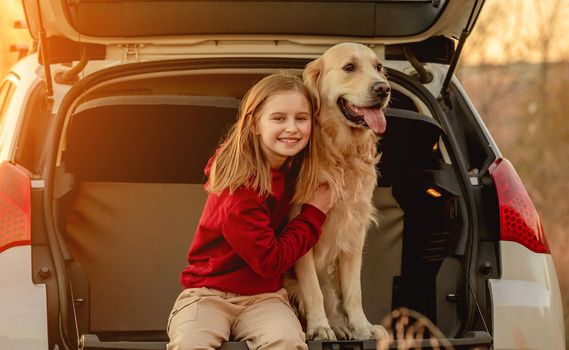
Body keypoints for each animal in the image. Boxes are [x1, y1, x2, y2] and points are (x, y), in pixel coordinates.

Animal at [286, 42, 388, 340]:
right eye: (349, 67)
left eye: (379, 67)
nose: (384, 89)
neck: (341, 154)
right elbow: (313, 291)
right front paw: (320, 327)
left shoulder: (354, 231)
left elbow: (353, 292)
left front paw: (362, 327)